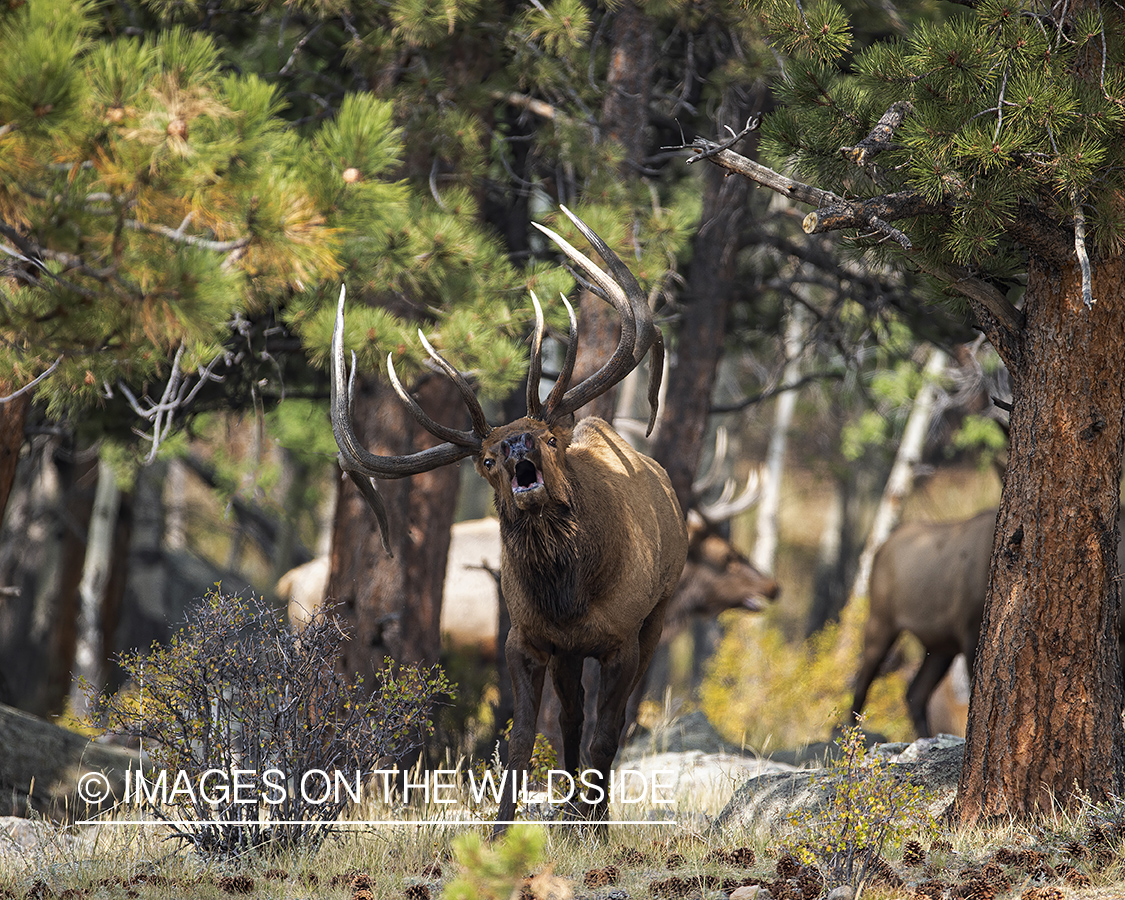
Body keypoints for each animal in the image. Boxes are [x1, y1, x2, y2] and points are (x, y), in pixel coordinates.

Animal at [328, 207, 688, 832]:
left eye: (547, 437)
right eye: (487, 459)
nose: (518, 444)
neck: (570, 597)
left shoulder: (620, 636)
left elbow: (607, 733)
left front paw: (593, 829)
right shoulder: (527, 638)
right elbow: (520, 741)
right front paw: (499, 831)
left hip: (659, 613)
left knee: (608, 724)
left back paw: (591, 812)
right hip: (570, 654)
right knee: (569, 719)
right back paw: (570, 806)